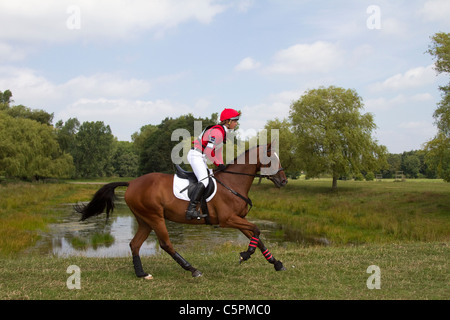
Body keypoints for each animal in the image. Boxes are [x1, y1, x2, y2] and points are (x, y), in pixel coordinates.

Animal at [75, 144, 288, 278]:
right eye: (271, 159)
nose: (284, 181)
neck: (233, 182)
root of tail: (132, 182)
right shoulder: (228, 219)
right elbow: (257, 231)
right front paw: (246, 254)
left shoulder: (239, 218)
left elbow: (257, 236)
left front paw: (276, 263)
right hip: (155, 217)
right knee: (166, 244)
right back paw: (193, 269)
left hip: (145, 220)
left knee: (135, 244)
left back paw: (141, 274)